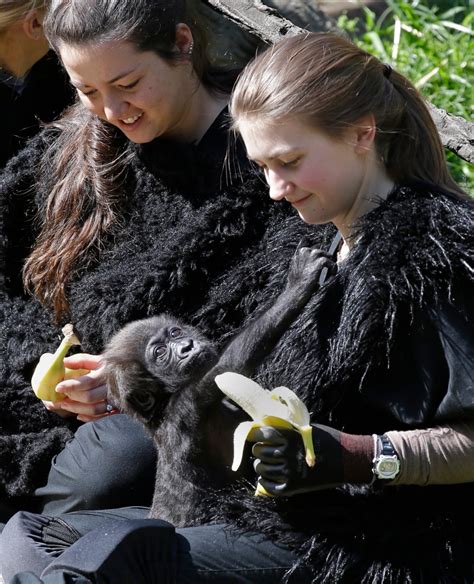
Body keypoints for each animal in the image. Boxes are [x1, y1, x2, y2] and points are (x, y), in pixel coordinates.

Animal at [104, 244, 334, 528]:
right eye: (160, 353)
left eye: (175, 333)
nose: (187, 347)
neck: (162, 406)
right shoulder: (187, 406)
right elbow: (229, 365)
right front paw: (298, 285)